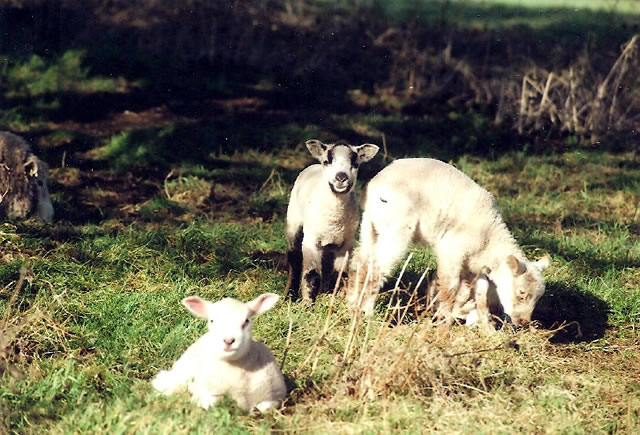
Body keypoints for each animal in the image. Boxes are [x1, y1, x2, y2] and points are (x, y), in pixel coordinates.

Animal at [151, 292, 286, 412]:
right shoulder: (206, 395)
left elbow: (265, 408)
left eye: (247, 320)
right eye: (212, 321)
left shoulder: (274, 396)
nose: (229, 340)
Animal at [284, 140, 378, 304]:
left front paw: (334, 299)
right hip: (293, 221)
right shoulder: (311, 241)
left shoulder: (346, 243)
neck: (335, 220)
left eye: (355, 164)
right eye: (327, 161)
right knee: (294, 259)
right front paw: (308, 303)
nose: (341, 177)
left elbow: (339, 272)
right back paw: (289, 295)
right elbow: (311, 274)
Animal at [348, 158, 552, 326]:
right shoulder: (453, 249)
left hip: (371, 223)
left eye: (538, 298)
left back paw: (351, 302)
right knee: (377, 267)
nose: (523, 322)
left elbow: (467, 290)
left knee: (361, 260)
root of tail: (374, 185)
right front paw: (443, 316)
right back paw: (367, 312)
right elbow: (450, 285)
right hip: (397, 224)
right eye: (522, 294)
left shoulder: (471, 266)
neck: (490, 242)